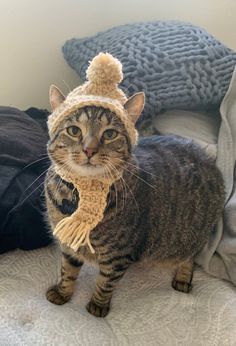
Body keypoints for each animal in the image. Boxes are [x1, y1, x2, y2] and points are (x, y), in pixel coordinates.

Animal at [44, 88, 225, 316]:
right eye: (74, 131)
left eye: (110, 134)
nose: (89, 150)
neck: (80, 196)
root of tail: (208, 158)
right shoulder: (69, 247)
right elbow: (67, 271)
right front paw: (63, 293)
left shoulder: (118, 257)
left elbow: (105, 283)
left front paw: (98, 305)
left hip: (192, 237)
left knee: (189, 258)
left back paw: (183, 278)